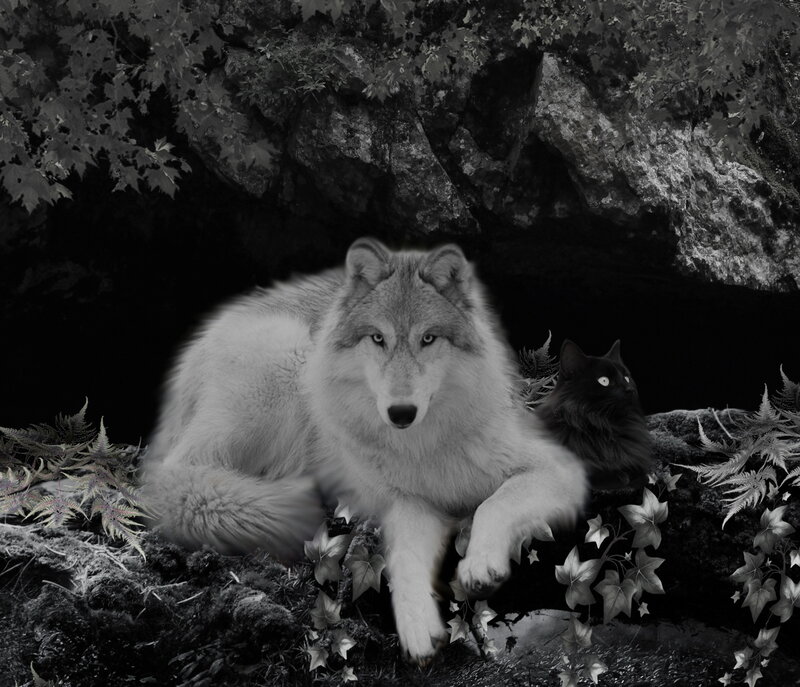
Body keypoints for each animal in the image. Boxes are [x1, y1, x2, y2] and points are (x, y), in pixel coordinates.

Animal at [140, 238, 588, 663]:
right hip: (289, 362)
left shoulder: (557, 470)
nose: (401, 412)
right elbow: (404, 558)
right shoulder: (409, 503)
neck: (426, 446)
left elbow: (493, 503)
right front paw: (417, 626)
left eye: (428, 339)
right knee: (181, 476)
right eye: (378, 338)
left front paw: (477, 568)